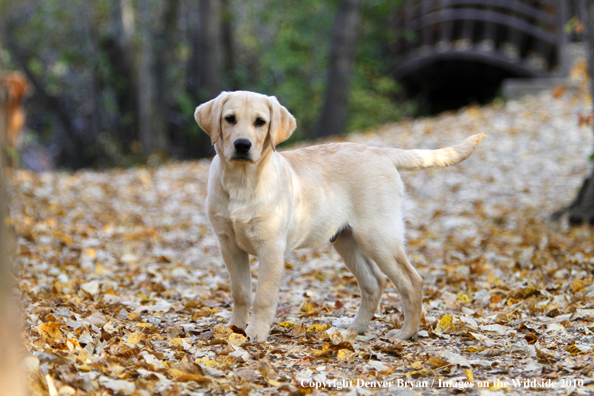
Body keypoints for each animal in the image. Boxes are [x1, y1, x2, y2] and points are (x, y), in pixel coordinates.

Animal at [194, 91, 480, 342]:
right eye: (229, 118)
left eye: (260, 122)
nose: (242, 145)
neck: (241, 183)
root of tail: (379, 151)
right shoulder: (228, 246)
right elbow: (241, 292)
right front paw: (233, 330)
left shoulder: (271, 248)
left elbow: (263, 296)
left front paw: (255, 334)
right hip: (347, 239)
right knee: (374, 283)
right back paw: (355, 328)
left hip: (379, 237)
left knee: (412, 282)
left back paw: (405, 334)